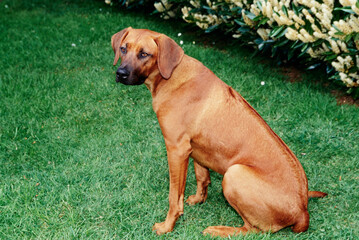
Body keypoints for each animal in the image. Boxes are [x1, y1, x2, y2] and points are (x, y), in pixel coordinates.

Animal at [111, 26, 328, 236]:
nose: (120, 73)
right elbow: (202, 177)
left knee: (253, 230)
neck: (172, 75)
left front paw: (167, 226)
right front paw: (198, 199)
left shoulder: (176, 149)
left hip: (234, 174)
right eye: (123, 49)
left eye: (144, 54)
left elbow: (174, 196)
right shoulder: (194, 149)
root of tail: (302, 211)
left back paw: (219, 230)